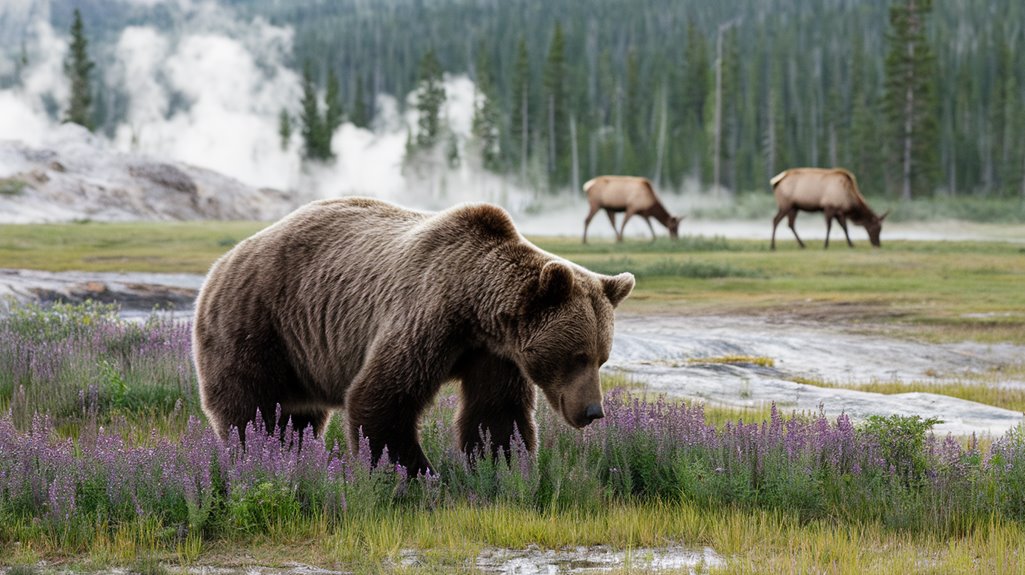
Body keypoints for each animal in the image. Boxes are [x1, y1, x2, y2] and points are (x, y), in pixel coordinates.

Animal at [192, 196, 631, 475]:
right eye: (576, 356)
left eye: (602, 357)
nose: (593, 411)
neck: (476, 310)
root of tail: (223, 261)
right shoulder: (428, 317)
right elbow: (382, 397)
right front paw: (416, 473)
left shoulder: (495, 354)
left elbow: (495, 413)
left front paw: (502, 466)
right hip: (260, 322)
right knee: (252, 408)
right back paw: (259, 456)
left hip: (301, 355)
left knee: (297, 417)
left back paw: (295, 456)